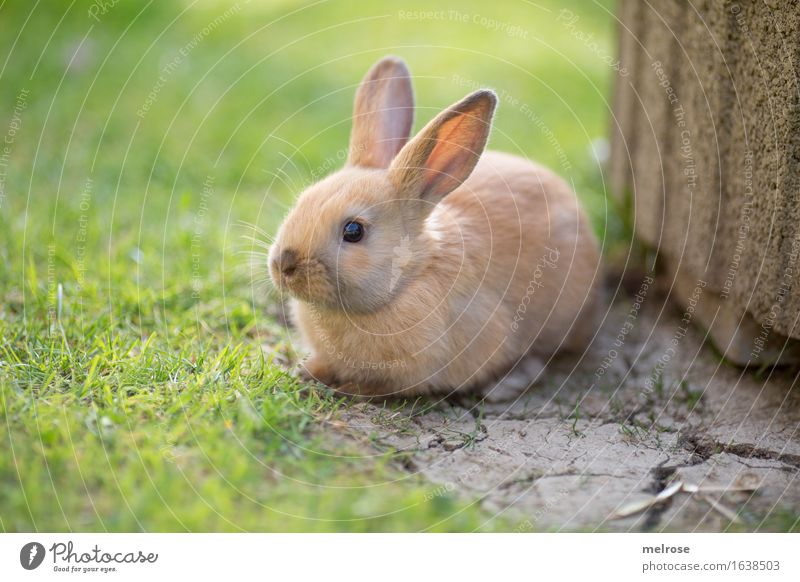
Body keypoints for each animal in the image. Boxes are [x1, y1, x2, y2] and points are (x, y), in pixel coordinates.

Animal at [268, 56, 600, 402]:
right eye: (302, 201)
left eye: (353, 231)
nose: (283, 264)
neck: (409, 278)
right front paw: (306, 371)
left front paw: (351, 388)